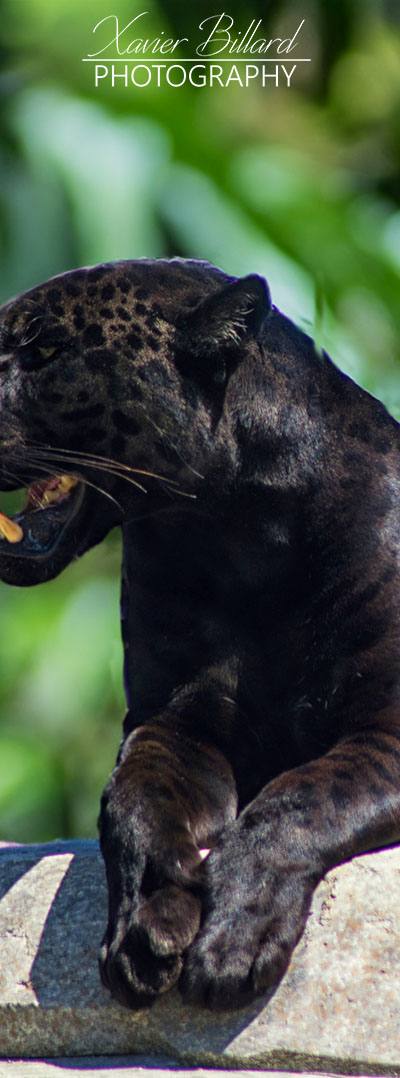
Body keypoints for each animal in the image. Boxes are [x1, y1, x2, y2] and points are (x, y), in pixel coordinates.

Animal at [0, 257, 399, 1011]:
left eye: (45, 352)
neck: (234, 539)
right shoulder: (175, 716)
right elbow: (133, 799)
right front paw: (145, 930)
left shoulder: (386, 727)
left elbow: (302, 797)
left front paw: (236, 938)